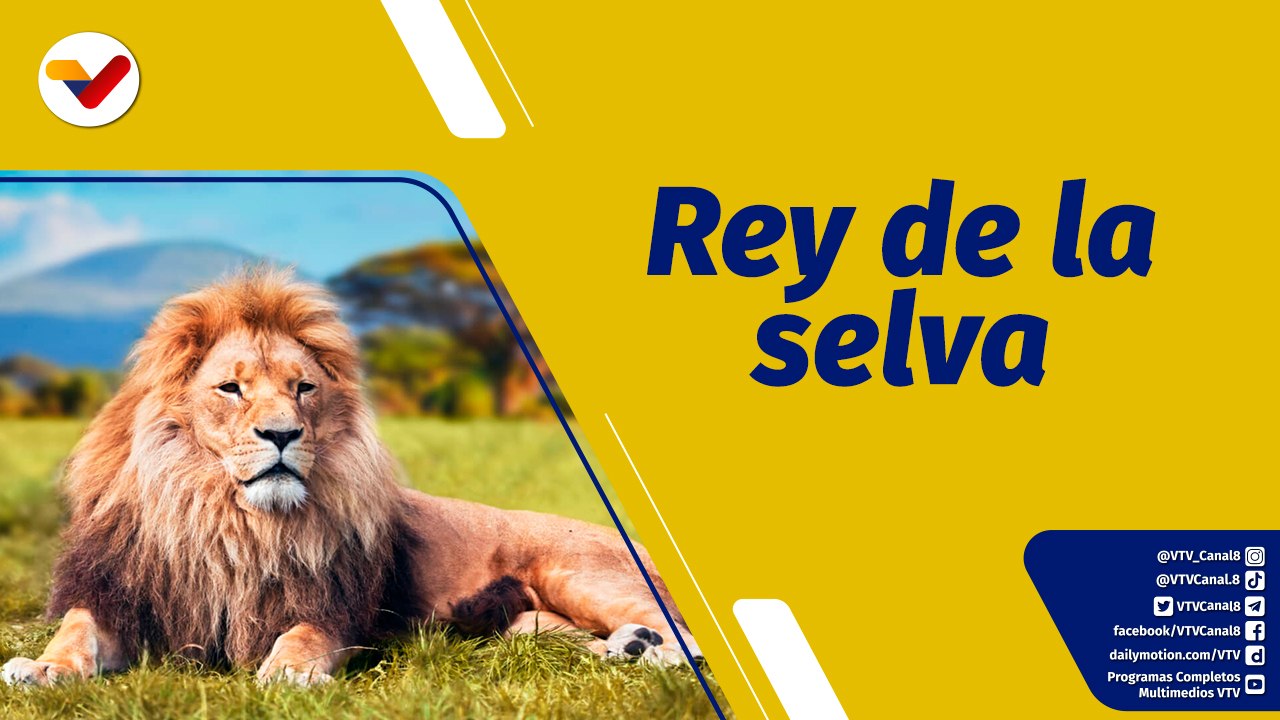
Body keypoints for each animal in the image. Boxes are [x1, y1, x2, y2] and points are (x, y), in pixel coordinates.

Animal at [1, 271, 701, 687]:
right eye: (231, 389)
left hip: (578, 573)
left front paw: (288, 672)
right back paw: (629, 650)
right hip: (527, 622)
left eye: (303, 389)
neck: (226, 520)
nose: (282, 435)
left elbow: (305, 634)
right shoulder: (122, 596)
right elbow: (76, 631)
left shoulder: (332, 607)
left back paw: (662, 654)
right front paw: (39, 668)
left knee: (678, 624)